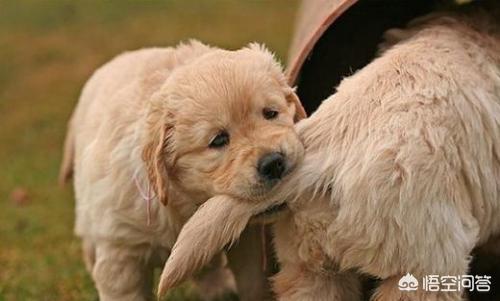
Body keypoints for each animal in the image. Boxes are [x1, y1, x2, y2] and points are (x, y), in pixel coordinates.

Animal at [60, 40, 306, 300]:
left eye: (271, 113)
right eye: (218, 140)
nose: (274, 163)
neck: (184, 202)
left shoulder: (247, 239)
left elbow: (254, 281)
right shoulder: (120, 253)